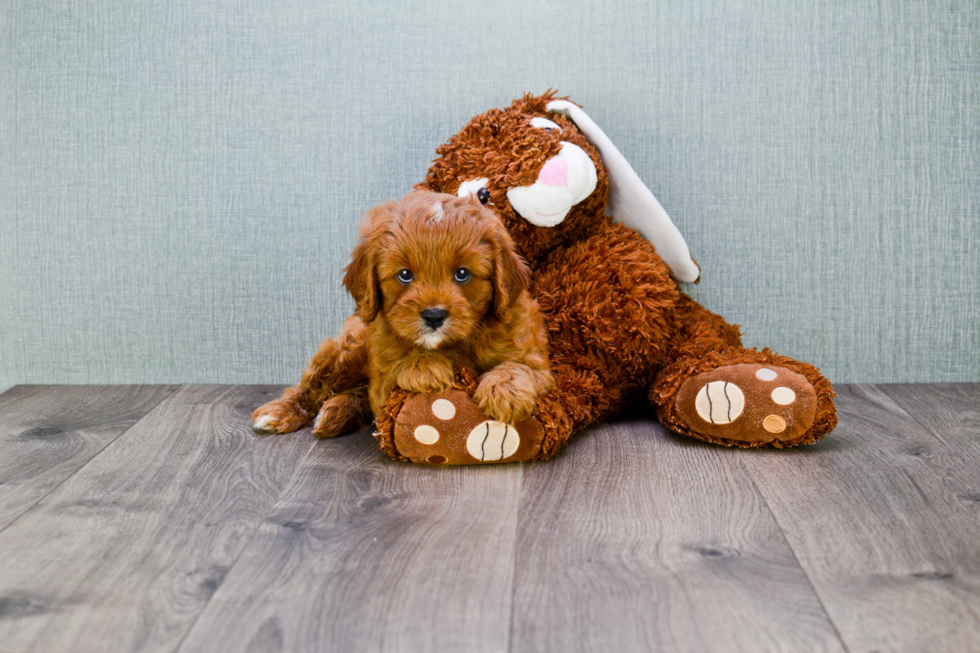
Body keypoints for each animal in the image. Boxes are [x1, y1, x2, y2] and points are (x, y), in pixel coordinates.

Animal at [348, 188, 552, 426]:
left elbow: (521, 366)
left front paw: (505, 390)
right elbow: (394, 370)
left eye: (462, 274)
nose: (434, 316)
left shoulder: (535, 360)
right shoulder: (380, 385)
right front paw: (424, 366)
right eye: (405, 274)